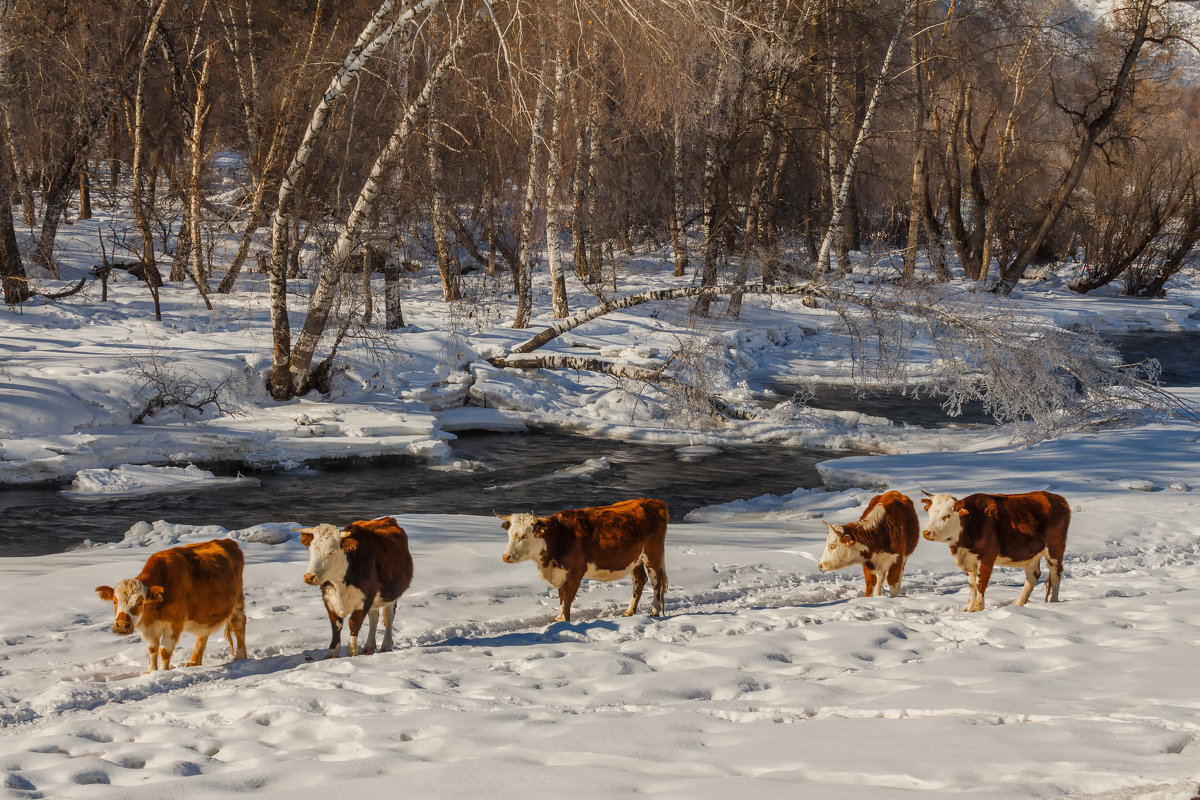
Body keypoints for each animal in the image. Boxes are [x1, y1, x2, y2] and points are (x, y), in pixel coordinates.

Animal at [97, 537, 248, 676]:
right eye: (114, 601)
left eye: (140, 602)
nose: (122, 625)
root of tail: (227, 541)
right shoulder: (150, 628)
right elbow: (152, 649)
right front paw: (150, 672)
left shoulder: (174, 623)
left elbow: (164, 650)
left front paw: (163, 672)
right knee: (202, 634)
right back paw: (194, 662)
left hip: (237, 602)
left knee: (239, 626)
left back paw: (240, 658)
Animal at [297, 515, 415, 662]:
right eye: (311, 550)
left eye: (331, 552)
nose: (309, 577)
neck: (340, 583)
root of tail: (388, 519)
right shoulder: (329, 599)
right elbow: (336, 625)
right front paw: (332, 653)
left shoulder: (365, 599)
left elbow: (354, 623)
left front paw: (352, 652)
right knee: (374, 617)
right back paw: (368, 647)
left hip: (391, 595)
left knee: (389, 617)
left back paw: (386, 646)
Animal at [494, 496, 667, 623]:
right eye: (510, 534)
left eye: (525, 535)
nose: (506, 556)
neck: (557, 537)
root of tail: (655, 502)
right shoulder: (560, 573)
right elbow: (562, 596)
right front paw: (558, 618)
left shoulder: (575, 572)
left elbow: (568, 597)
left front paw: (563, 619)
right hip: (635, 559)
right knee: (640, 580)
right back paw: (629, 611)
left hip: (652, 554)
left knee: (656, 581)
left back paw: (654, 610)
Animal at [916, 489, 1070, 614]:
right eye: (930, 513)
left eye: (947, 515)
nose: (927, 532)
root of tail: (1057, 498)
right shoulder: (969, 559)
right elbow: (972, 585)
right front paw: (968, 607)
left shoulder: (988, 556)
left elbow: (981, 582)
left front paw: (977, 608)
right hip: (1031, 553)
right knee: (1033, 576)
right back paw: (1019, 604)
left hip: (1055, 548)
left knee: (1056, 573)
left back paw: (1053, 603)